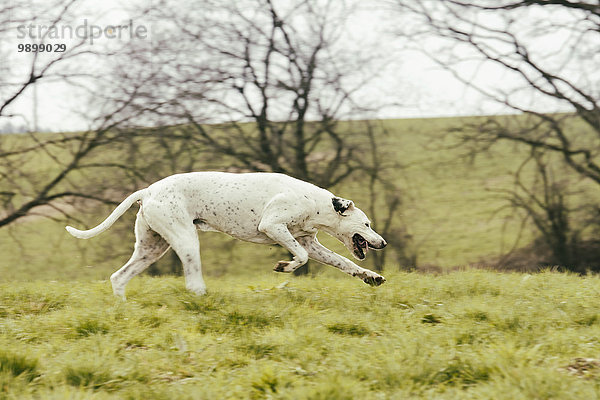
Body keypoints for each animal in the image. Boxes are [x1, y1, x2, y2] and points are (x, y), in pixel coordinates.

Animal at [64, 170, 384, 298]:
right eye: (367, 224)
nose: (383, 242)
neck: (314, 202)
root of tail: (148, 190)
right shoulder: (274, 227)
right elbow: (301, 257)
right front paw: (285, 266)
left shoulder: (310, 242)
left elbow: (346, 263)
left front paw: (371, 276)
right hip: (186, 241)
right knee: (192, 282)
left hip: (150, 249)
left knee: (119, 277)